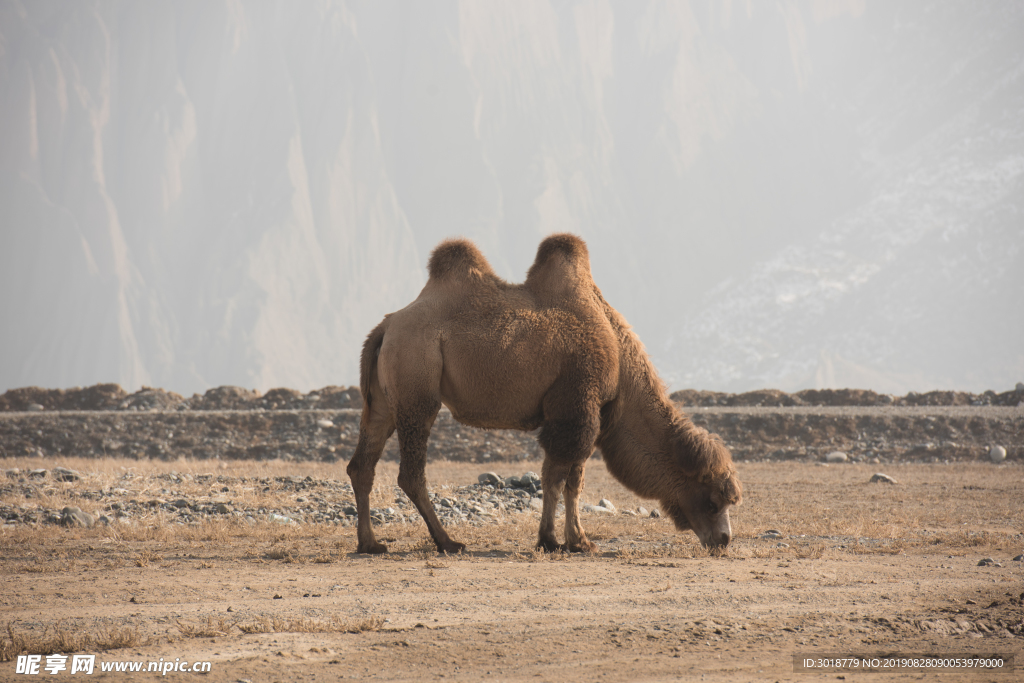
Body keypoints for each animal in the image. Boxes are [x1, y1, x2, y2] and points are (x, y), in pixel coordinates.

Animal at [348, 235, 741, 557]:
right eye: (712, 500)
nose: (723, 540)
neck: (620, 361)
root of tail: (385, 326)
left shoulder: (586, 412)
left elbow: (572, 480)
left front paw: (577, 541)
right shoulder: (576, 406)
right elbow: (557, 476)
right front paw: (554, 540)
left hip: (383, 401)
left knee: (362, 464)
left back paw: (370, 543)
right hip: (417, 384)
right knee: (411, 473)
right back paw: (447, 541)